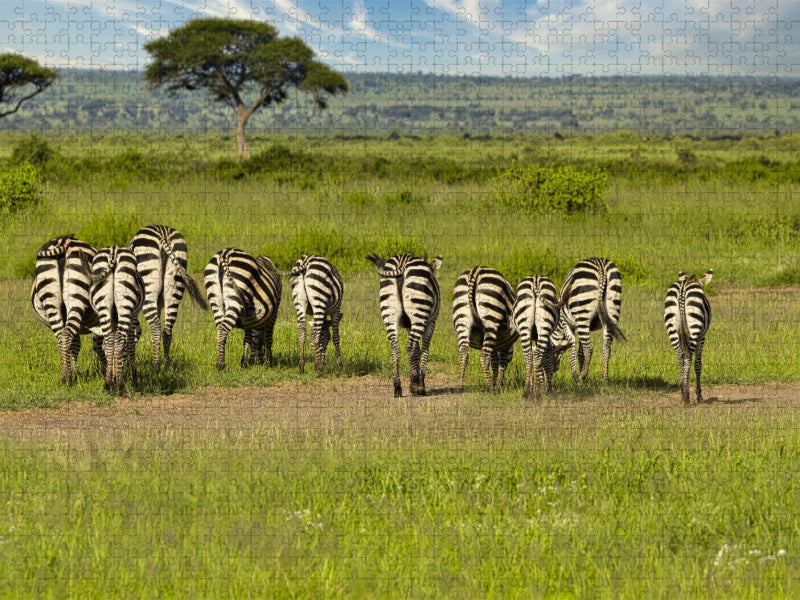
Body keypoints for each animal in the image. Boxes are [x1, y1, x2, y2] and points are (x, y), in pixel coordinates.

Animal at [30, 235, 105, 383]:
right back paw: (67, 377)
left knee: (62, 336)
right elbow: (101, 345)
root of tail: (63, 241)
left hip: (51, 300)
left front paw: (74, 371)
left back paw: (65, 375)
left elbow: (77, 344)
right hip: (76, 296)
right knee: (66, 335)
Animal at [88, 245, 145, 396]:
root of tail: (114, 250)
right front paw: (134, 379)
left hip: (103, 306)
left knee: (109, 340)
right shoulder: (132, 318)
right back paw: (121, 387)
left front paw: (112, 379)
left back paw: (107, 385)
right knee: (119, 340)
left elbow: (111, 345)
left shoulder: (113, 318)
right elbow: (129, 346)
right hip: (125, 304)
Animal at [128, 225, 208, 368]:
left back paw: (155, 366)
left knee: (156, 327)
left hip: (148, 284)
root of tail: (163, 234)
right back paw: (166, 365)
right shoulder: (159, 305)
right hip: (175, 284)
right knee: (167, 331)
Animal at [366, 252, 442, 397]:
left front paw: (414, 378)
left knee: (395, 347)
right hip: (419, 311)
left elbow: (417, 351)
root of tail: (402, 261)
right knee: (410, 346)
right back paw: (414, 386)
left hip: (389, 313)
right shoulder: (432, 322)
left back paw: (397, 387)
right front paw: (420, 385)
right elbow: (424, 350)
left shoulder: (408, 325)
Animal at [664, 269, 713, 405]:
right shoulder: (702, 337)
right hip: (694, 327)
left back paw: (683, 392)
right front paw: (699, 395)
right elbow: (698, 364)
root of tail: (682, 288)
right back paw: (686, 396)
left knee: (680, 357)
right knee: (688, 359)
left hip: (672, 328)